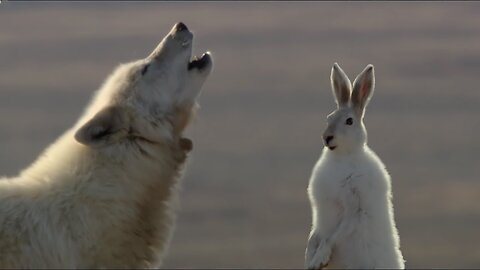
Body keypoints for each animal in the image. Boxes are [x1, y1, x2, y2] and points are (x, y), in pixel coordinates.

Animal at [306, 62, 404, 268]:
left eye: (349, 121)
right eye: (328, 118)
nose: (327, 137)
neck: (342, 157)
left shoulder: (354, 204)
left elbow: (331, 237)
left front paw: (318, 260)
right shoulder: (319, 217)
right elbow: (315, 235)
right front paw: (309, 257)